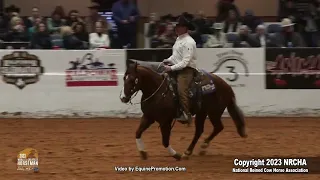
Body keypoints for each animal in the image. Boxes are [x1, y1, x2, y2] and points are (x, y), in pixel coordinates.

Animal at [120, 60, 248, 160]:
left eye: (133, 79)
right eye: (124, 78)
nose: (123, 98)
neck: (158, 91)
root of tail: (227, 86)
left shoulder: (165, 121)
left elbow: (165, 141)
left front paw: (176, 155)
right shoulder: (148, 117)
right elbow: (138, 132)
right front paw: (143, 152)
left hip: (214, 112)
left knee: (217, 127)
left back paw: (197, 148)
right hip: (202, 112)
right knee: (201, 130)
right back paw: (192, 151)